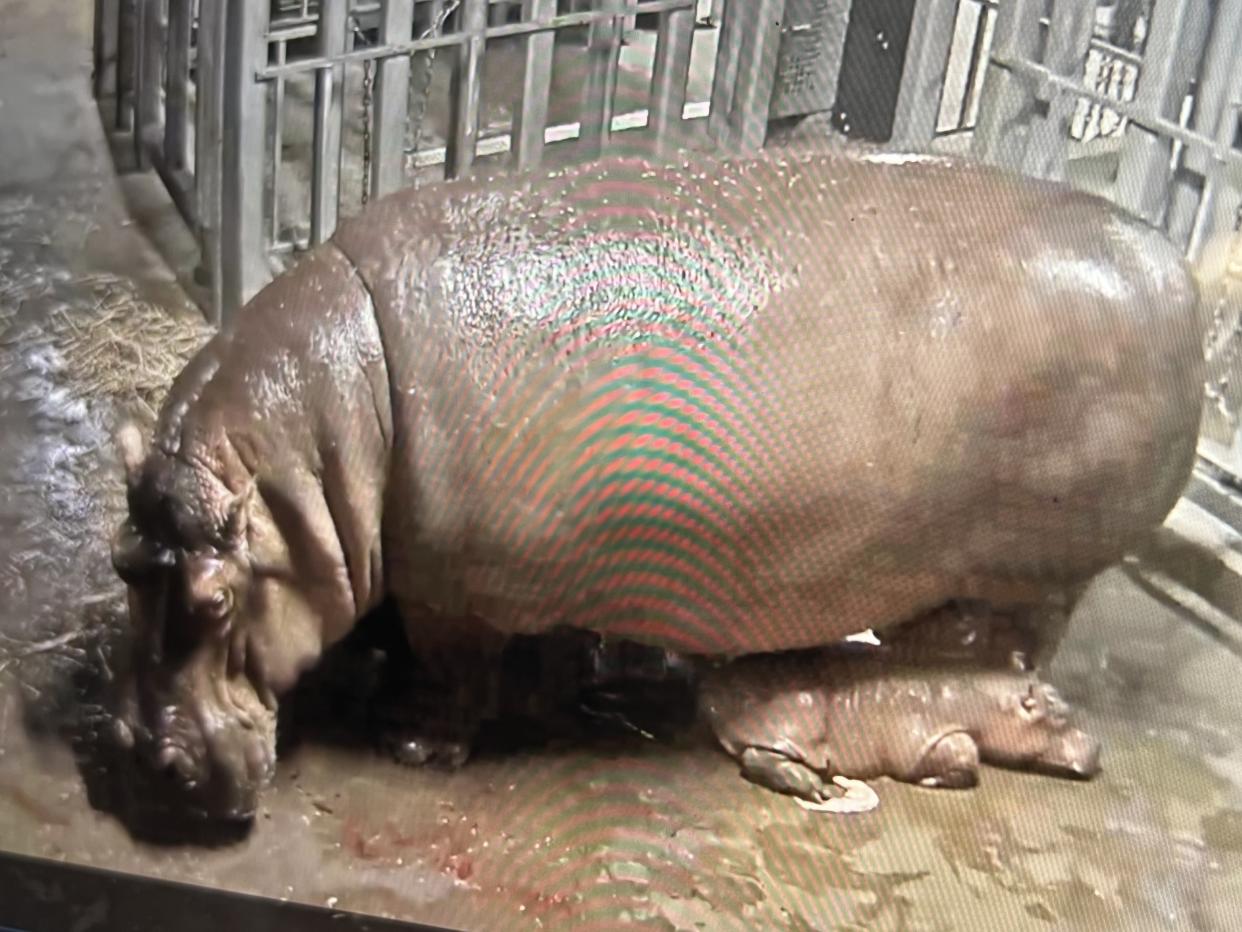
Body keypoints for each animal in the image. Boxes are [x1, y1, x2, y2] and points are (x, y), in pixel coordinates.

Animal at [104, 147, 1202, 825]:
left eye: (214, 599)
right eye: (121, 565)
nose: (147, 756)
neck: (320, 444)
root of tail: (1175, 268)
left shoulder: (455, 589)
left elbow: (452, 670)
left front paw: (412, 742)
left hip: (1032, 571)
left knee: (995, 652)